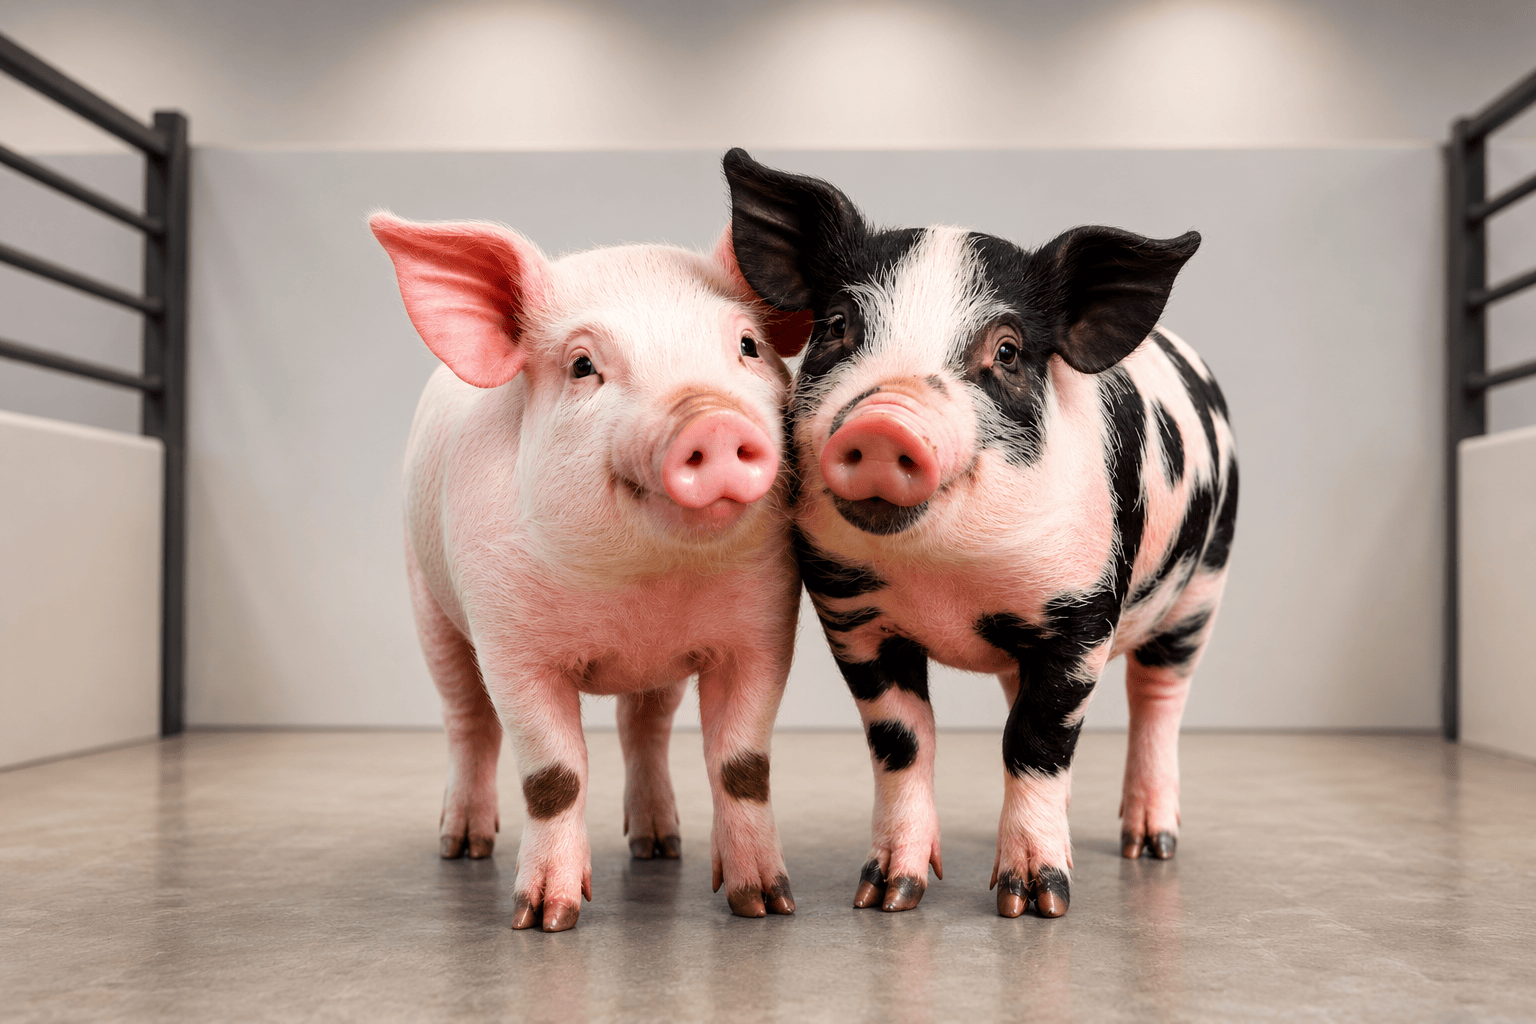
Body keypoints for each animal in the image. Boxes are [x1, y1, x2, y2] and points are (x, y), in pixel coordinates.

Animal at [370, 211, 811, 931]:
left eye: (747, 345)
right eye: (583, 366)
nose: (711, 419)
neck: (643, 584)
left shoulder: (765, 629)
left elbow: (742, 765)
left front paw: (768, 906)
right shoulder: (509, 642)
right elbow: (554, 776)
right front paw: (543, 919)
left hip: (660, 673)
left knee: (644, 728)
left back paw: (660, 846)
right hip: (425, 598)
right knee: (466, 719)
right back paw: (463, 846)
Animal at [721, 150, 1237, 919]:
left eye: (1009, 351)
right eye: (838, 325)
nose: (885, 424)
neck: (948, 580)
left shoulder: (1083, 611)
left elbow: (1037, 738)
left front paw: (1035, 904)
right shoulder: (850, 612)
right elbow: (903, 740)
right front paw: (886, 897)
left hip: (1204, 584)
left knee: (1159, 700)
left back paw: (1150, 846)